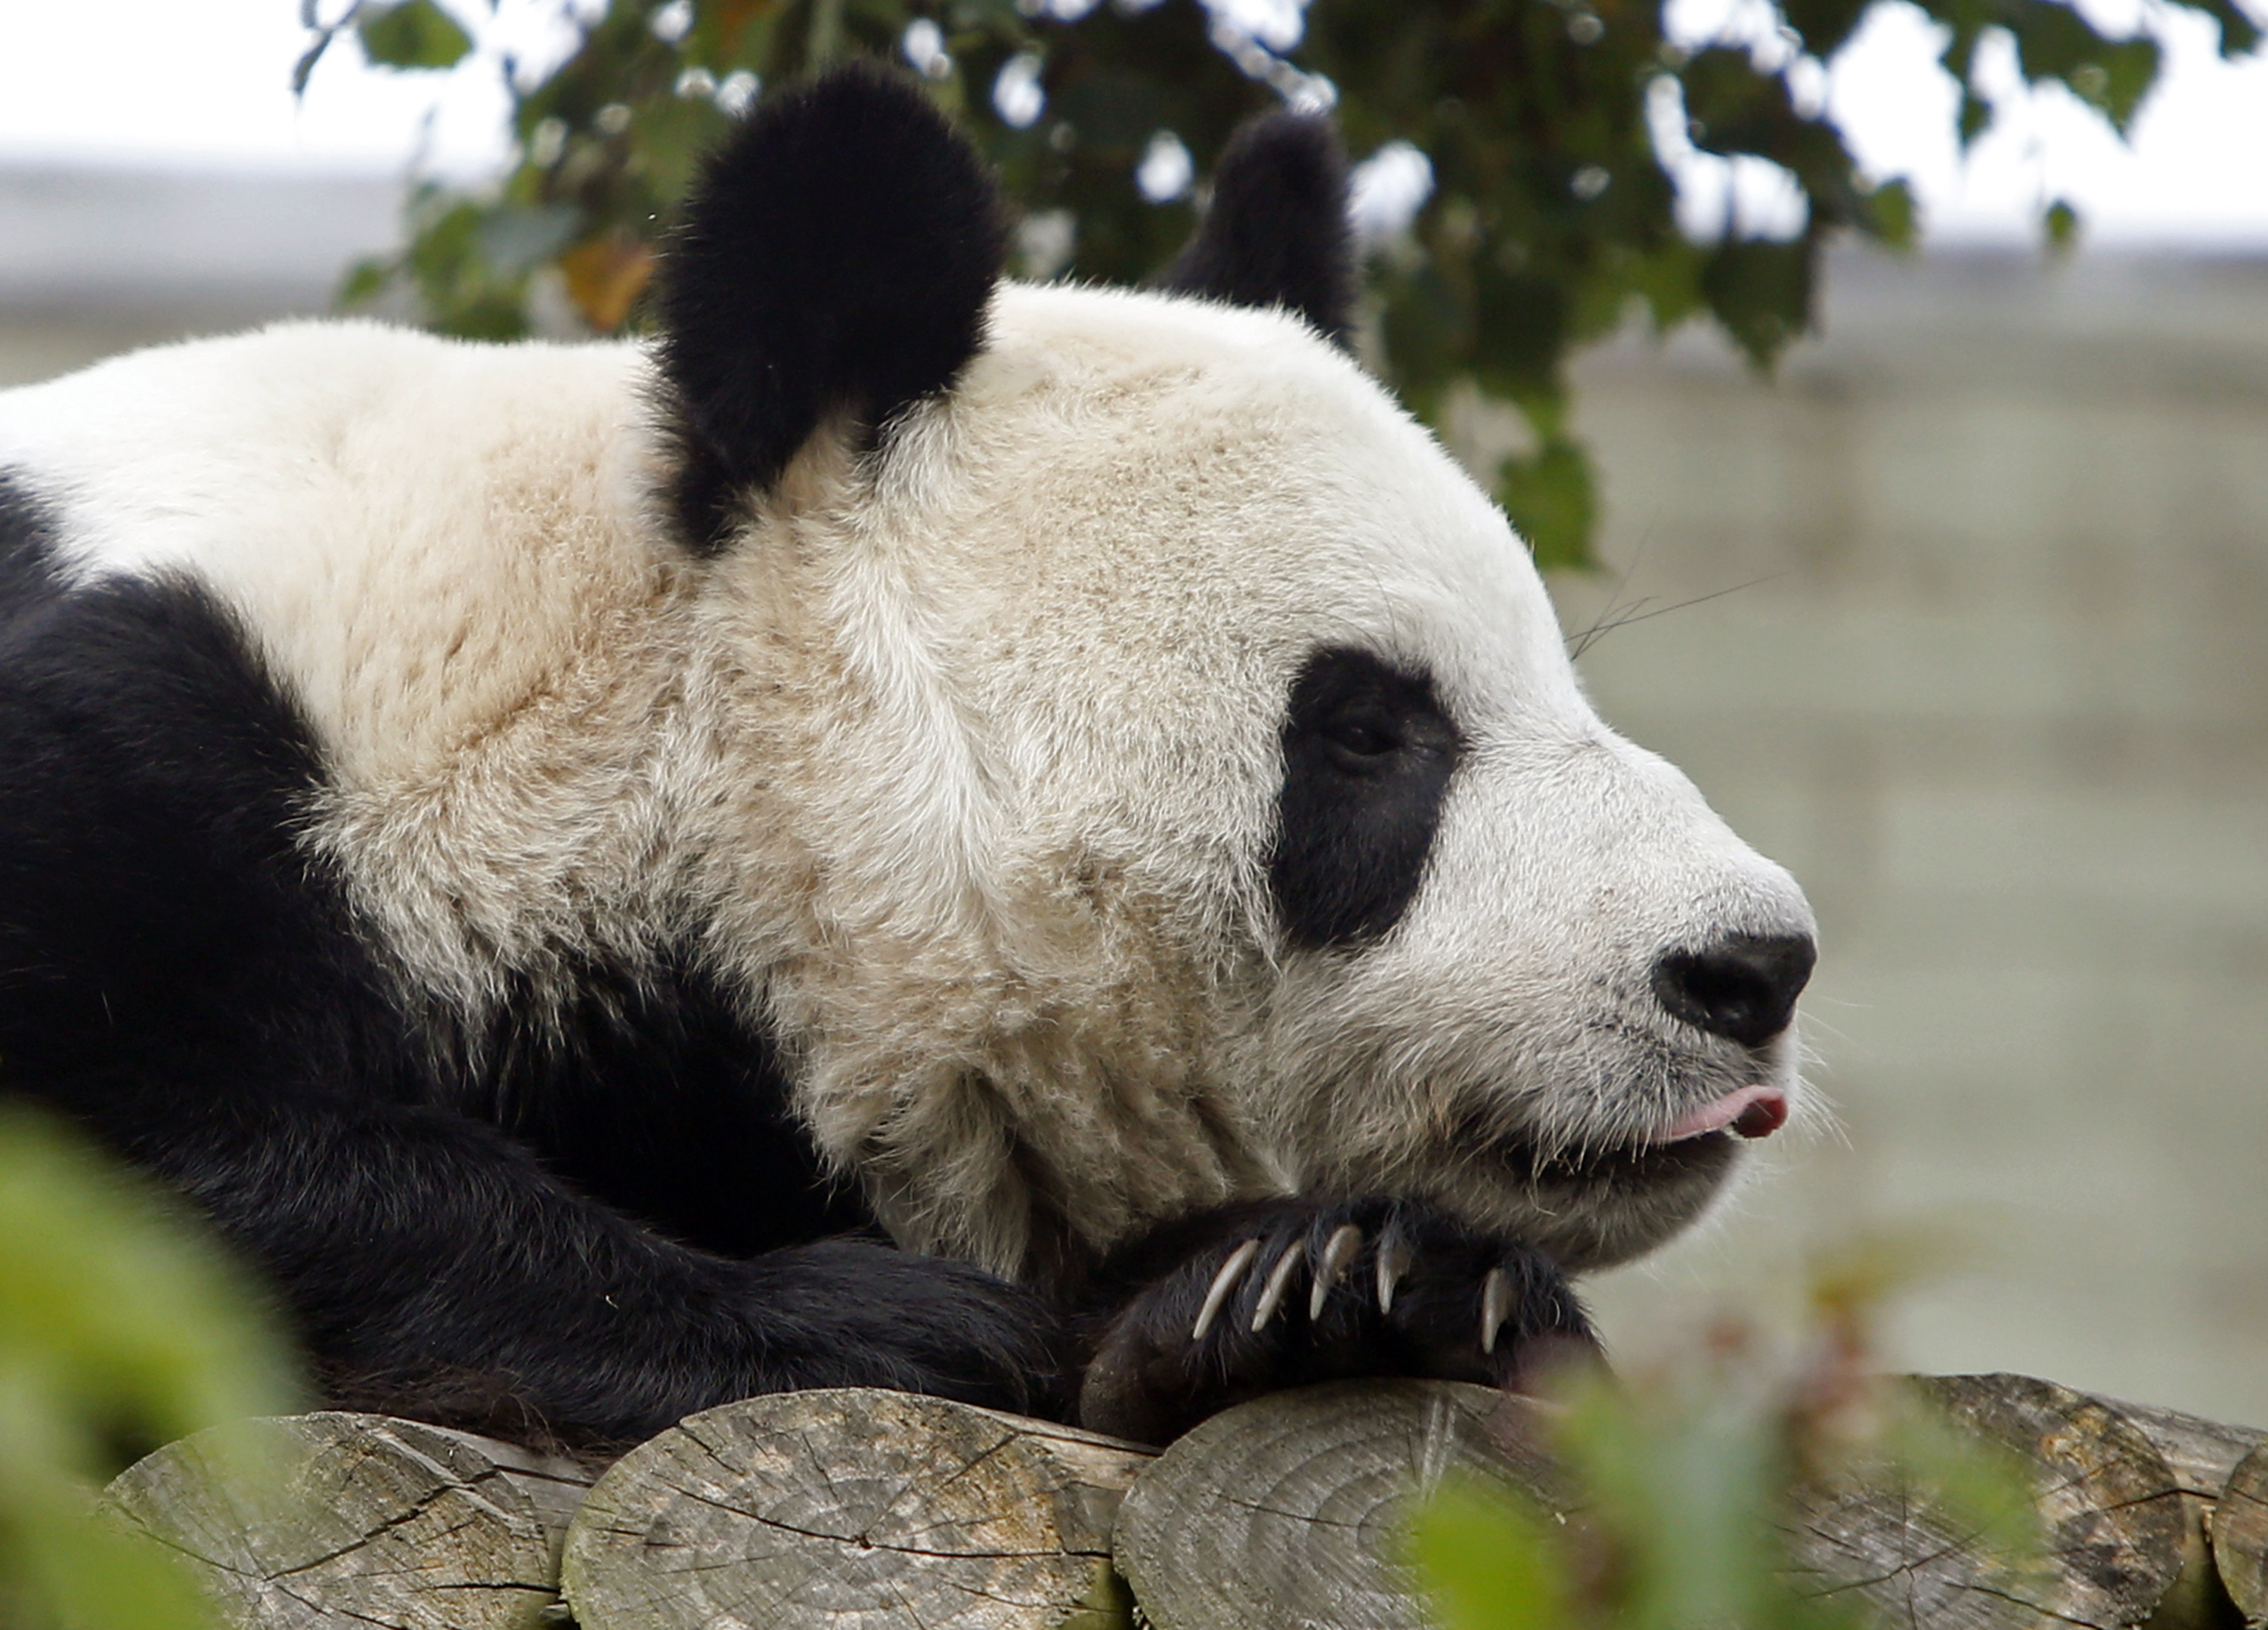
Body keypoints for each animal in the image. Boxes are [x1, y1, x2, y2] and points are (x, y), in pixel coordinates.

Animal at [0, 67, 1814, 1451]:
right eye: (1370, 728)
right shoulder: (174, 737)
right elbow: (129, 1164)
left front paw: (1342, 1285)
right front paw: (876, 1319)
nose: (1749, 965)